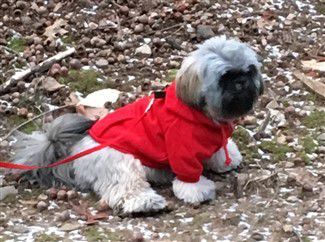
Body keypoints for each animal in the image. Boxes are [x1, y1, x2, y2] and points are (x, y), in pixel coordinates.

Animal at [11, 35, 262, 214]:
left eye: (249, 71)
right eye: (225, 77)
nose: (242, 81)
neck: (200, 113)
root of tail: (76, 151)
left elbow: (219, 149)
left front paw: (226, 158)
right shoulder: (181, 148)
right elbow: (188, 174)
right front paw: (198, 190)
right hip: (121, 160)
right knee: (125, 188)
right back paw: (146, 203)